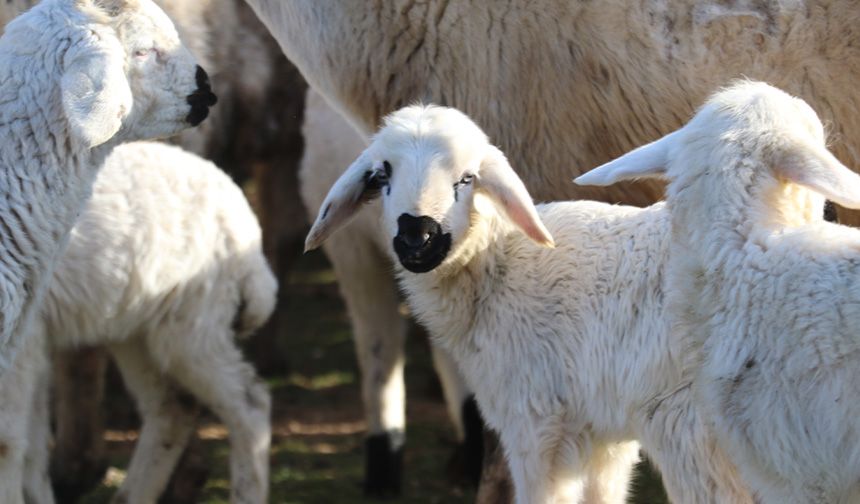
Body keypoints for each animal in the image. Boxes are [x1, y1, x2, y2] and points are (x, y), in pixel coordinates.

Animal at [0, 139, 276, 504]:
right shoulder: (34, 339)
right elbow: (31, 449)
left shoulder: (23, 339)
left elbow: (8, 443)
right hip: (135, 329)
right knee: (173, 407)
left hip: (192, 321)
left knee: (249, 403)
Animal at [302, 104, 752, 504]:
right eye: (383, 175)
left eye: (467, 178)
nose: (417, 237)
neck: (499, 265)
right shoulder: (604, 436)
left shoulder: (535, 422)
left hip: (693, 431)